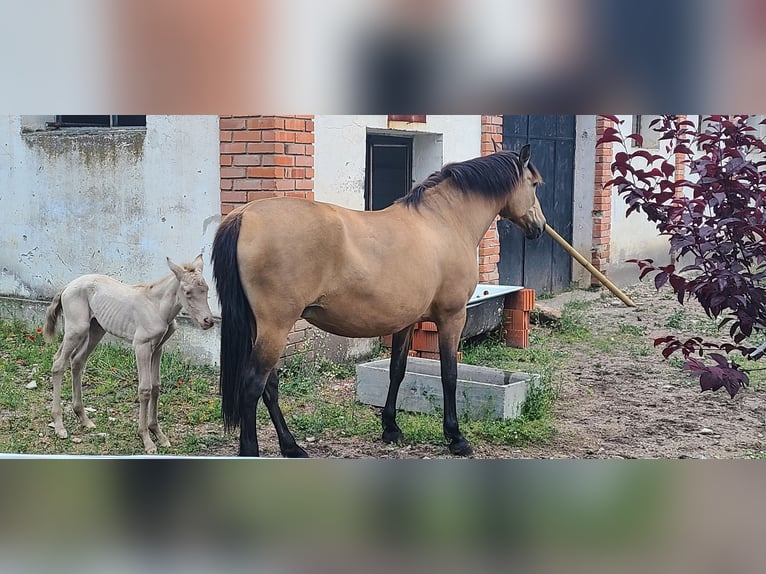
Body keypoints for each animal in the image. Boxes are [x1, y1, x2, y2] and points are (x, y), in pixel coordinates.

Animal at [43, 255, 215, 454]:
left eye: (206, 289)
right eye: (187, 292)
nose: (208, 321)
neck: (157, 307)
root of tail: (67, 286)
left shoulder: (158, 348)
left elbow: (156, 387)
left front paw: (159, 434)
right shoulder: (141, 346)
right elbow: (145, 389)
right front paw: (146, 440)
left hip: (96, 329)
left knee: (77, 361)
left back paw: (84, 419)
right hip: (76, 329)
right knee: (59, 363)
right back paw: (59, 425)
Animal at [211, 145, 545, 457]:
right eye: (534, 184)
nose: (540, 227)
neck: (443, 222)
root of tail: (244, 215)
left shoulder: (406, 321)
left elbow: (397, 370)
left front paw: (391, 428)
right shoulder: (452, 316)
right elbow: (449, 375)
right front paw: (456, 437)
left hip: (260, 328)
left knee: (269, 386)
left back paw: (291, 446)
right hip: (276, 327)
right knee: (252, 385)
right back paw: (253, 450)